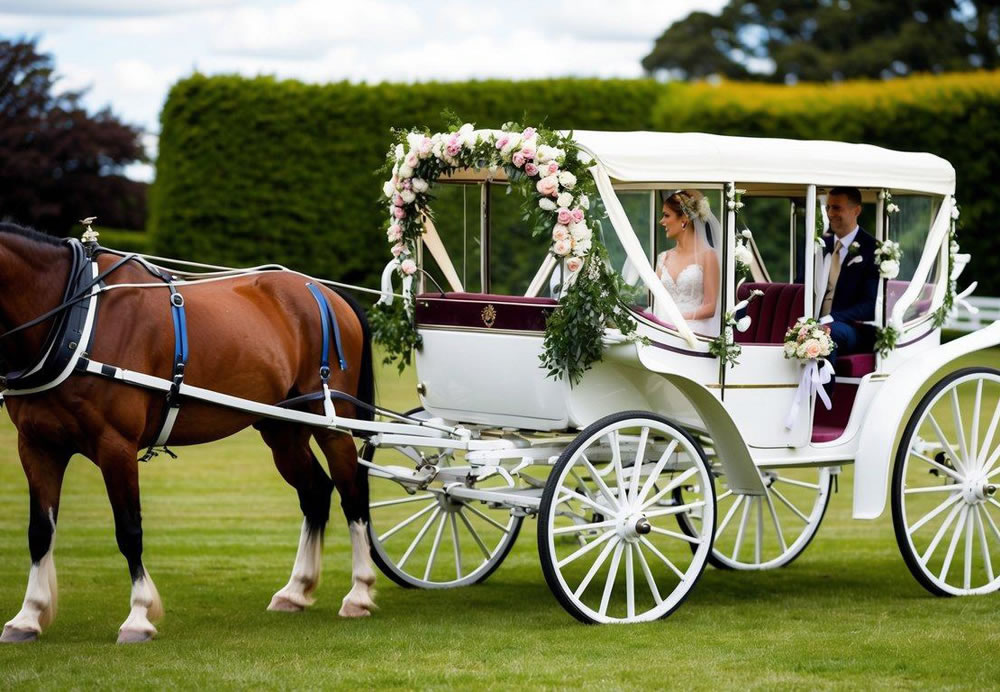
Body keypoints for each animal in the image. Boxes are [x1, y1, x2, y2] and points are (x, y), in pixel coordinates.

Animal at [0, 224, 376, 648]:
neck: (75, 313)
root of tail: (325, 291)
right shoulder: (37, 447)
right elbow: (39, 532)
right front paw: (28, 616)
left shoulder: (116, 445)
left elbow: (129, 529)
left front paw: (138, 616)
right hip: (283, 430)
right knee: (316, 493)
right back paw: (295, 590)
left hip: (331, 423)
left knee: (352, 494)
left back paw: (359, 593)